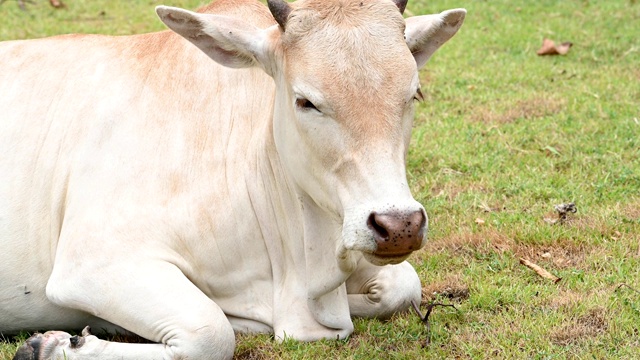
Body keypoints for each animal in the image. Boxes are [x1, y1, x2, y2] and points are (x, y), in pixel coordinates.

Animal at [0, 1, 464, 358]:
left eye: (413, 94)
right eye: (306, 101)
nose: (399, 226)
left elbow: (402, 287)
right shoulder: (92, 263)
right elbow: (210, 333)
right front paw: (53, 346)